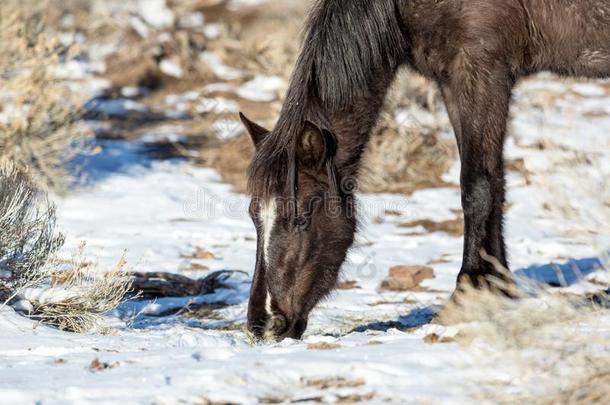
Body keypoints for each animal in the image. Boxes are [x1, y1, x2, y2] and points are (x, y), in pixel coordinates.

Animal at [238, 0, 608, 340]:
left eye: (301, 216)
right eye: (254, 215)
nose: (264, 323)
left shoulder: (480, 71)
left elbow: (477, 186)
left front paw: (467, 295)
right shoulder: (452, 81)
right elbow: (495, 182)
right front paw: (496, 289)